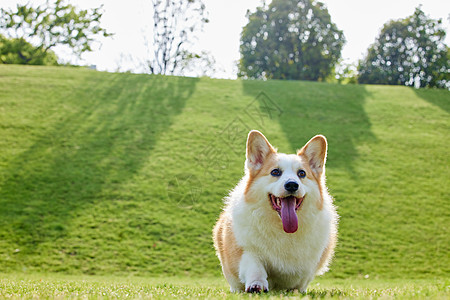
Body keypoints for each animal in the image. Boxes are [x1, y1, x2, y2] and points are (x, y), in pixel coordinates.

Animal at [213, 129, 336, 292]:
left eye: (302, 174)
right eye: (275, 172)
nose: (292, 185)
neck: (282, 228)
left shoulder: (308, 264)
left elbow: (301, 278)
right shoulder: (247, 249)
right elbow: (255, 266)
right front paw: (256, 284)